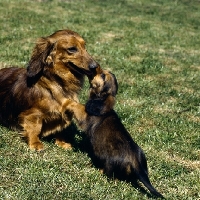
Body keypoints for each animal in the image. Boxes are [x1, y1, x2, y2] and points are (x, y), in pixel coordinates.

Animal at [65, 67, 163, 197]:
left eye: (102, 75)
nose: (93, 68)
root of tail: (135, 161)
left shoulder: (84, 116)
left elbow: (78, 106)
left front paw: (67, 101)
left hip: (109, 162)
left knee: (112, 176)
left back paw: (98, 170)